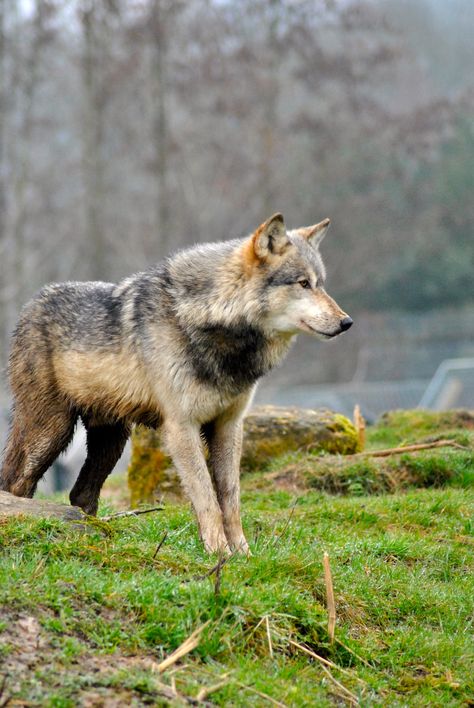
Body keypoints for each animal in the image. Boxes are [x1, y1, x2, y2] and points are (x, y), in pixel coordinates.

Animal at [0, 213, 352, 556]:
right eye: (303, 283)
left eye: (321, 284)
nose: (346, 322)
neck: (210, 319)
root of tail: (31, 304)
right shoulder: (181, 428)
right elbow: (207, 498)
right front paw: (219, 553)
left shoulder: (229, 425)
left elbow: (230, 498)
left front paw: (243, 554)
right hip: (50, 433)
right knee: (16, 483)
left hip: (112, 440)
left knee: (80, 494)